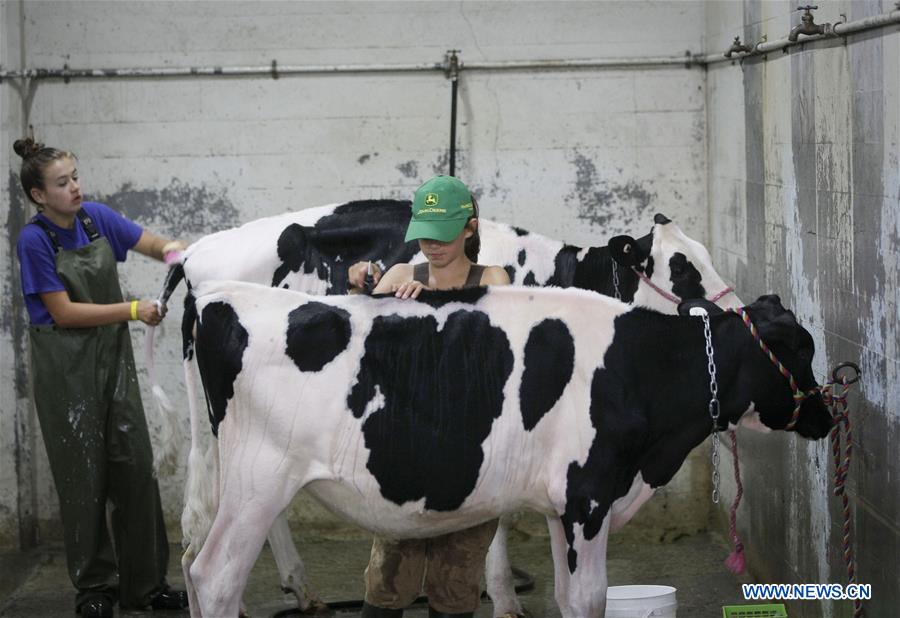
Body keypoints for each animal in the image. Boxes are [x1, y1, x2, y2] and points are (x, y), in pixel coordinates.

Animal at [181, 282, 828, 616]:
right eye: (801, 347)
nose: (826, 415)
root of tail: (218, 294)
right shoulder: (590, 496)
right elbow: (590, 599)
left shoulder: (561, 507)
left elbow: (570, 599)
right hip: (259, 480)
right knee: (215, 576)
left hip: (231, 478)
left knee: (191, 565)